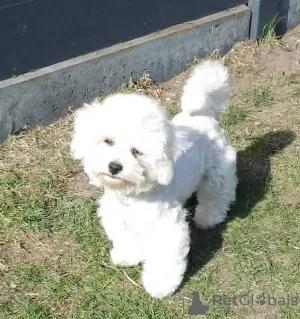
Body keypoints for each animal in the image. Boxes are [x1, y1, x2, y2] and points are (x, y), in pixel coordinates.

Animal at [70, 60, 237, 300]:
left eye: (136, 151)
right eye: (108, 141)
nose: (114, 167)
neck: (132, 197)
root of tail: (202, 114)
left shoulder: (167, 228)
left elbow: (164, 260)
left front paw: (160, 285)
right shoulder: (118, 219)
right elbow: (126, 239)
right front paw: (128, 255)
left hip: (217, 172)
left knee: (218, 196)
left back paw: (208, 218)